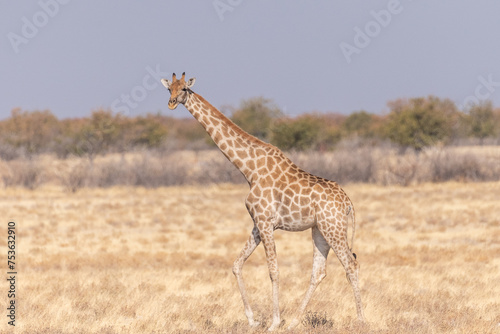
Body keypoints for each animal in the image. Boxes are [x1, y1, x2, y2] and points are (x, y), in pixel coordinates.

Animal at [162, 73, 366, 332]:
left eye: (184, 89)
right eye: (169, 88)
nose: (171, 103)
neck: (248, 169)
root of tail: (348, 202)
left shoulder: (266, 222)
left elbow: (273, 271)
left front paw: (274, 322)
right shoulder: (257, 223)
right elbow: (237, 265)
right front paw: (253, 320)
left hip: (334, 228)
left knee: (351, 265)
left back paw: (361, 320)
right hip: (320, 229)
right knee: (319, 272)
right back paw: (295, 322)